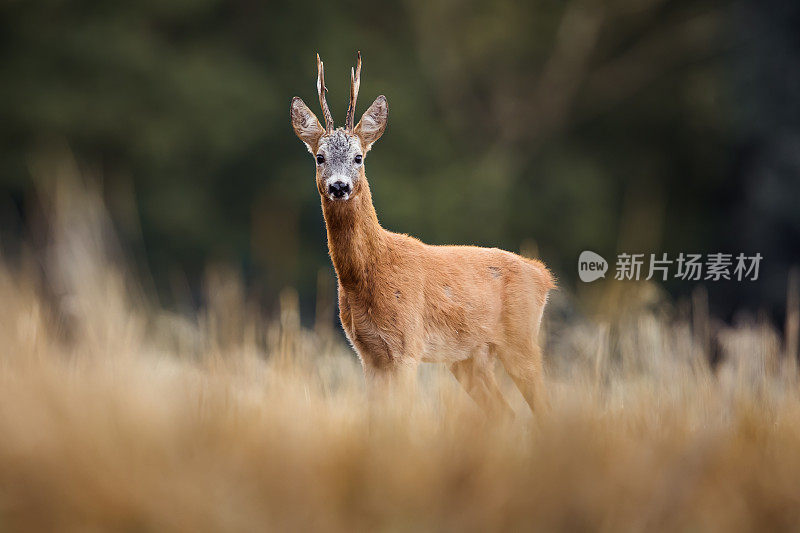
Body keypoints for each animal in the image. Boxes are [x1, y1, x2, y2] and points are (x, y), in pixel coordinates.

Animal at [290, 51, 556, 416]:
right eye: (319, 157)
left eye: (358, 157)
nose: (339, 186)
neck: (370, 271)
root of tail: (543, 274)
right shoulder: (368, 353)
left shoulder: (407, 345)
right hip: (469, 358)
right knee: (504, 412)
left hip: (521, 340)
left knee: (546, 407)